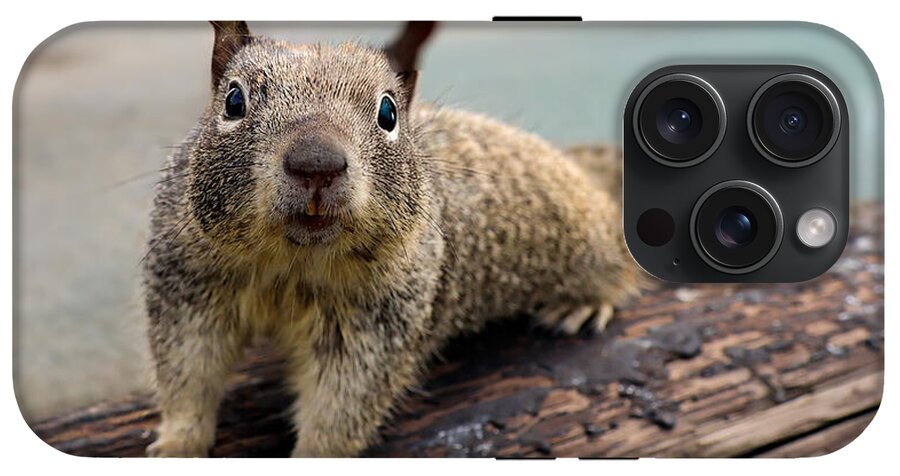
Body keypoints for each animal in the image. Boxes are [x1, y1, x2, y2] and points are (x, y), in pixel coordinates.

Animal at [144, 21, 642, 457]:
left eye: (388, 112)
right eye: (233, 100)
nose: (316, 164)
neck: (293, 262)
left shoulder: (376, 324)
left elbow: (341, 407)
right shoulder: (189, 287)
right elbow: (188, 375)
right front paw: (176, 445)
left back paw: (583, 303)